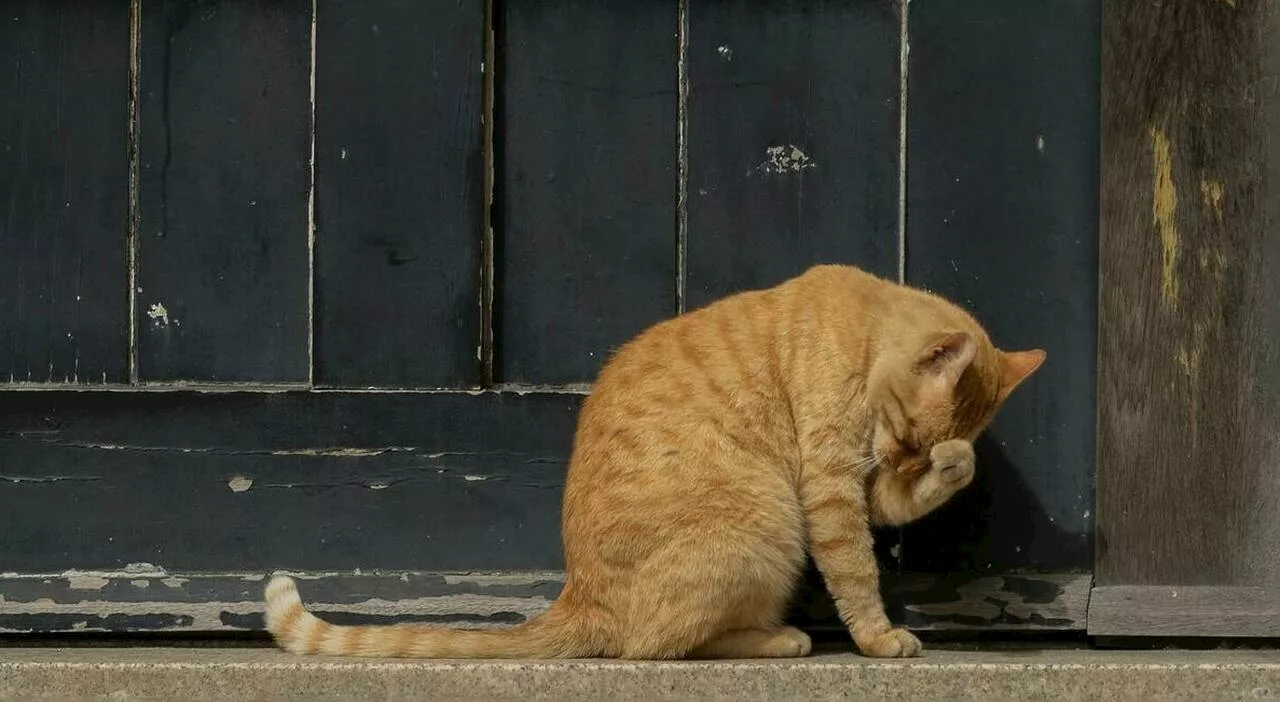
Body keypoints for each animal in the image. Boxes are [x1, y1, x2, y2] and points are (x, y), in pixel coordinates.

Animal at [264, 263, 1044, 655]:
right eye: (905, 434)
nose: (908, 458)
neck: (862, 326)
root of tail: (577, 596)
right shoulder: (828, 487)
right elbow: (856, 572)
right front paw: (880, 638)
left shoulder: (861, 483)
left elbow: (899, 503)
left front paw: (956, 466)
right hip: (766, 527)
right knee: (653, 645)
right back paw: (779, 640)